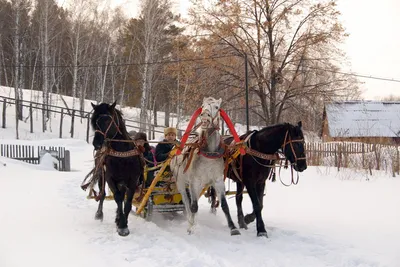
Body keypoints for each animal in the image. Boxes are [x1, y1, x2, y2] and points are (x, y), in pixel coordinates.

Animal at [90, 102, 143, 237]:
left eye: (108, 120)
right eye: (95, 121)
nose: (96, 143)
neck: (122, 155)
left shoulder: (132, 180)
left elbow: (127, 202)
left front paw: (122, 222)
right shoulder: (110, 178)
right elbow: (118, 198)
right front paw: (122, 225)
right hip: (101, 176)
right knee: (103, 194)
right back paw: (99, 214)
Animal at [170, 97, 239, 236]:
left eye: (217, 107)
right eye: (202, 106)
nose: (205, 116)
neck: (209, 153)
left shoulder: (218, 181)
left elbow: (224, 205)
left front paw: (233, 227)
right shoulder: (194, 182)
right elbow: (193, 206)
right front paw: (190, 228)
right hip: (180, 182)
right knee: (187, 202)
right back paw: (190, 219)